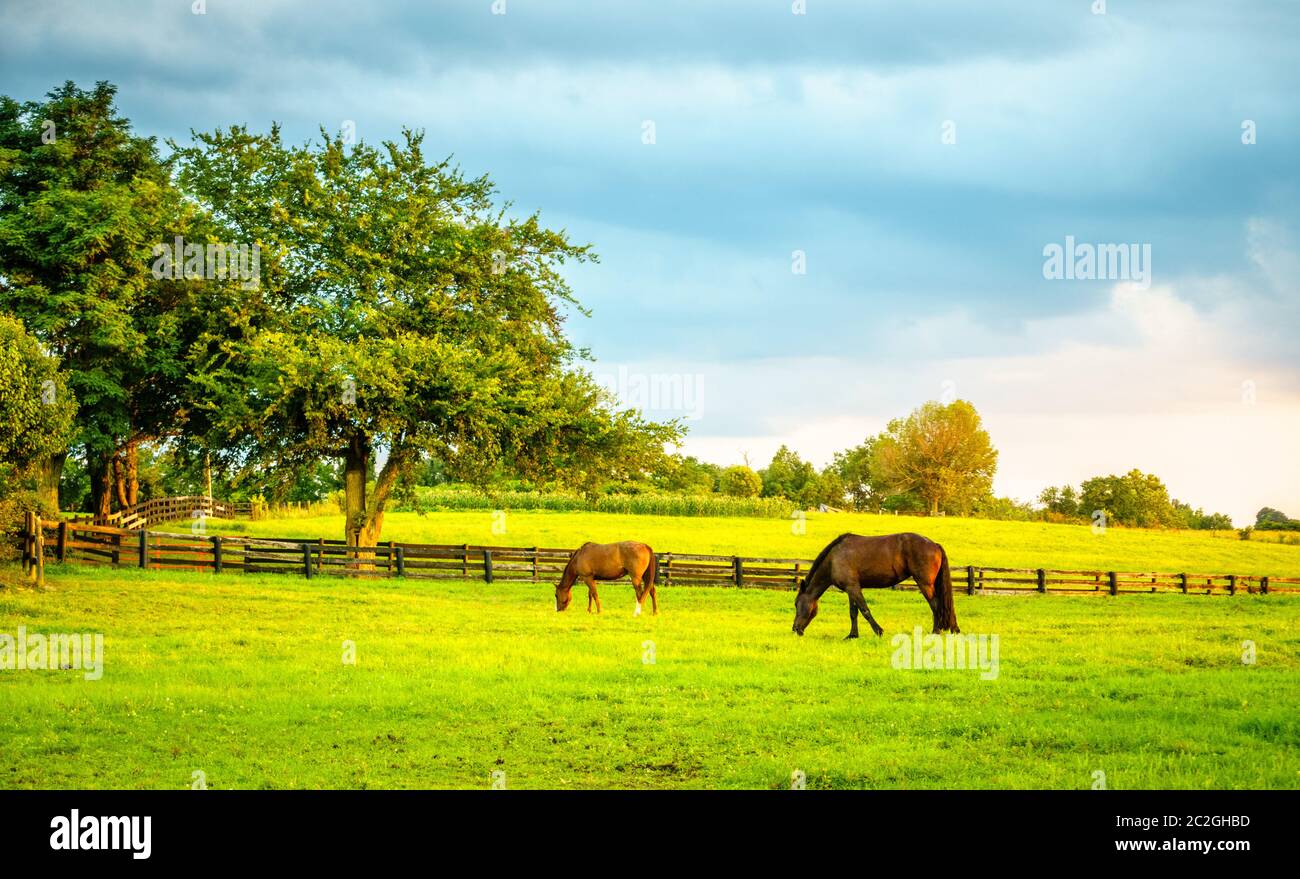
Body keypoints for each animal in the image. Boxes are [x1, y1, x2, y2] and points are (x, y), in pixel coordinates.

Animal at [785, 527, 961, 639]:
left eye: (796, 604)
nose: (795, 629)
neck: (834, 558)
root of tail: (934, 545)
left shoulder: (853, 588)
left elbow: (865, 610)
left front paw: (878, 631)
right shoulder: (851, 589)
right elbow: (853, 613)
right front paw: (852, 635)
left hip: (925, 584)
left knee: (936, 605)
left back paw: (936, 631)